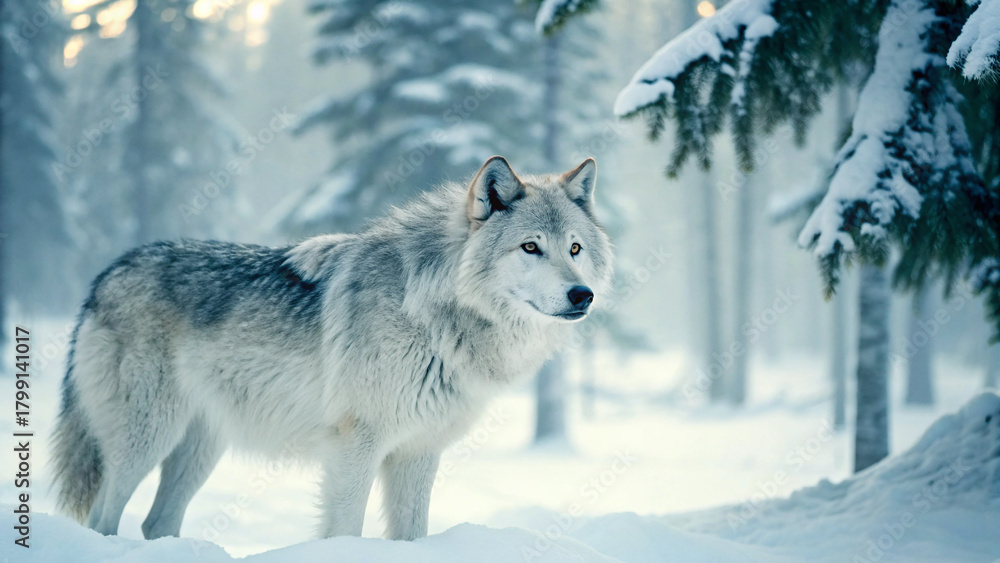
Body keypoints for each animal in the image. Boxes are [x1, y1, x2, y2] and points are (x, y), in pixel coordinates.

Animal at [52, 156, 612, 542]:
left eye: (575, 249)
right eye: (531, 247)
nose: (582, 295)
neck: (432, 312)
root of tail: (107, 272)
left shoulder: (418, 452)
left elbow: (412, 534)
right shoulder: (355, 446)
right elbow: (346, 528)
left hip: (200, 449)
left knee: (155, 523)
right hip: (147, 438)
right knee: (103, 519)